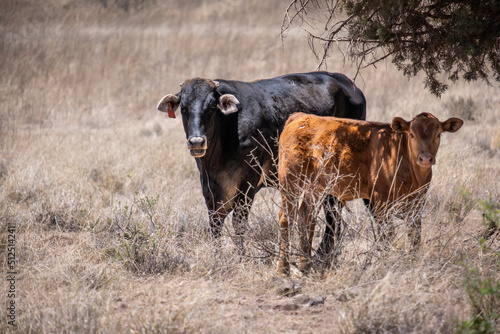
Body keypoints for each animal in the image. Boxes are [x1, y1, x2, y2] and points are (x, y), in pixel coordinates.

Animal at [157, 72, 368, 258]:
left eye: (211, 107)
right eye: (184, 108)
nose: (197, 141)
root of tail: (348, 84)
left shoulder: (248, 184)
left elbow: (239, 223)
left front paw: (241, 257)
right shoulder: (210, 187)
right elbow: (215, 223)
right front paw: (216, 256)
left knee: (333, 211)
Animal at [276, 112, 462, 276]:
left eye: (438, 134)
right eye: (411, 134)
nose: (425, 158)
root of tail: (300, 117)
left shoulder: (417, 204)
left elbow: (415, 235)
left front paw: (413, 262)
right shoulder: (380, 202)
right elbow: (386, 234)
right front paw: (386, 263)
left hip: (315, 188)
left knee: (306, 216)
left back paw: (305, 265)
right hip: (290, 181)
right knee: (286, 217)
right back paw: (283, 271)